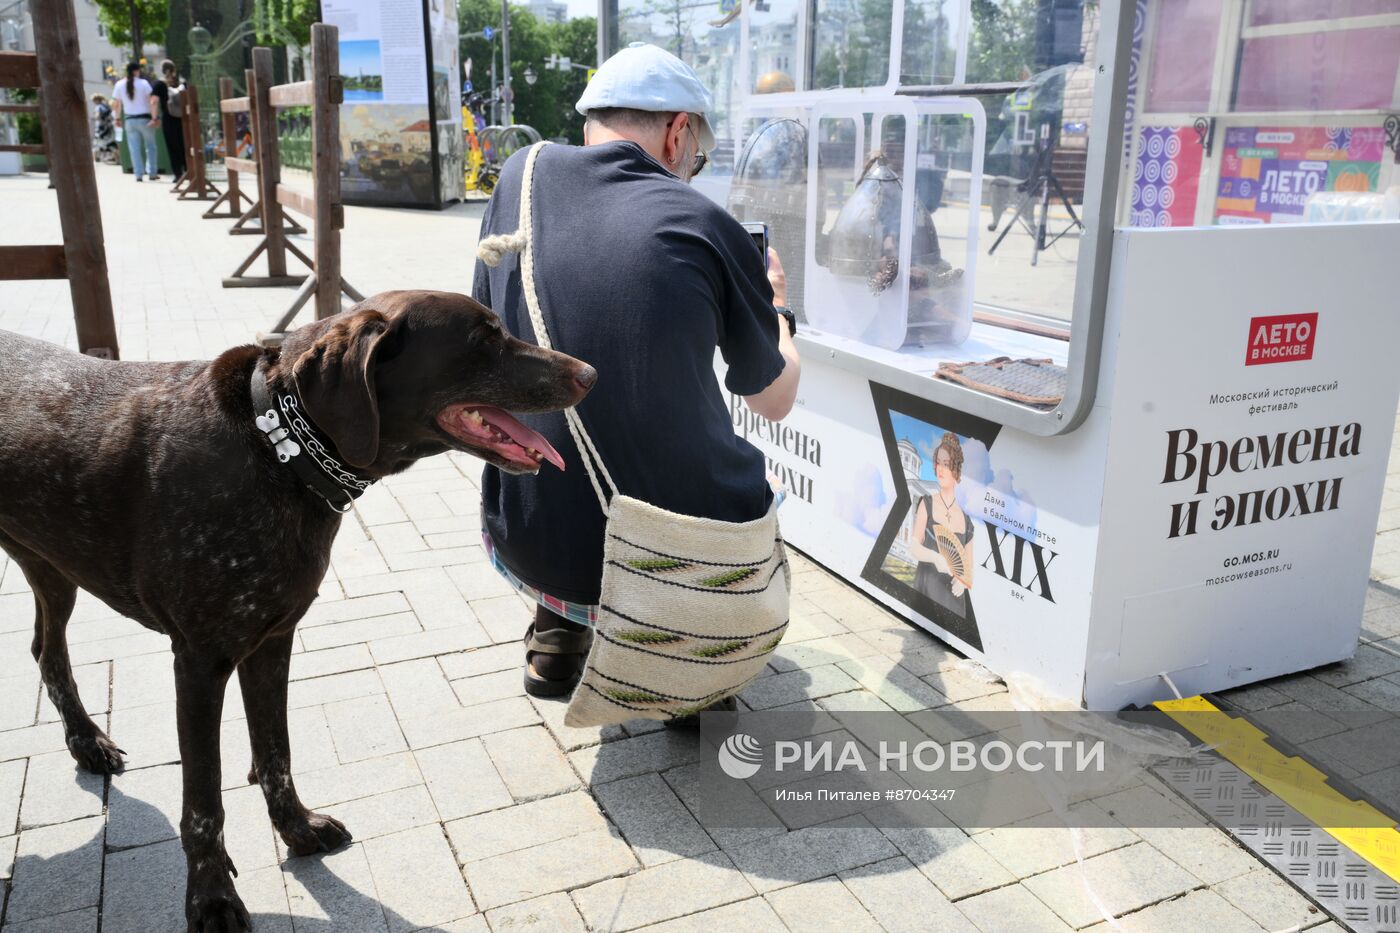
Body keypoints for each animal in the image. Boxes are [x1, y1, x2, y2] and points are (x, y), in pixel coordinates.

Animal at [0, 291, 596, 930]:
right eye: (484, 339)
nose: (590, 374)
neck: (276, 446)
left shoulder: (271, 641)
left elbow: (275, 753)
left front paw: (297, 830)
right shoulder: (201, 662)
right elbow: (204, 801)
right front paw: (212, 898)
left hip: (52, 567)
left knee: (46, 650)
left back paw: (86, 742)